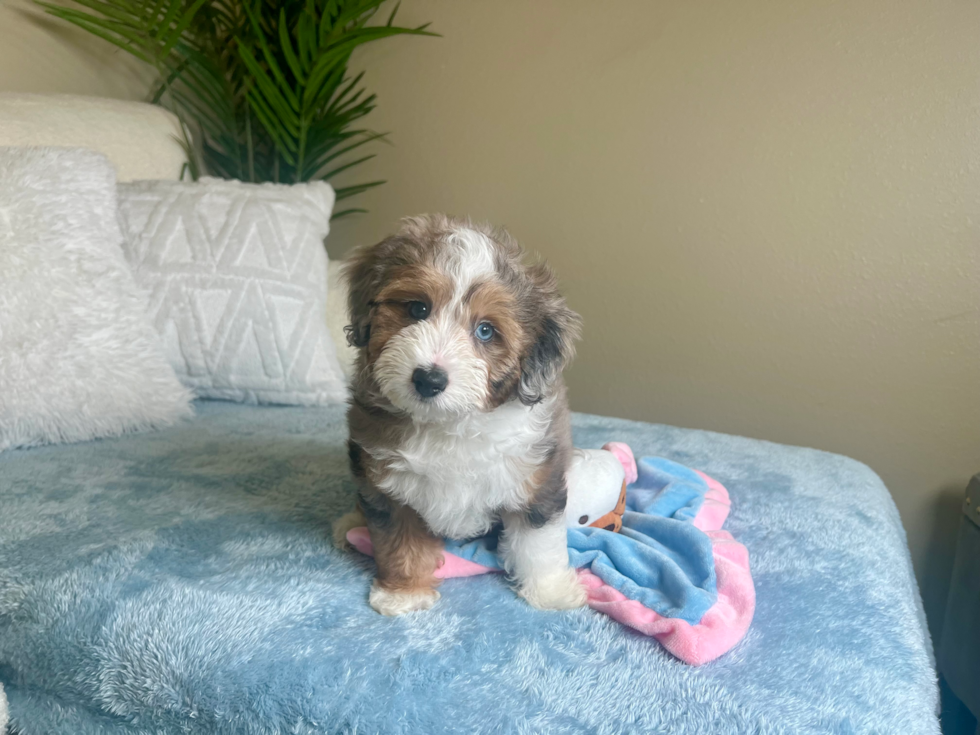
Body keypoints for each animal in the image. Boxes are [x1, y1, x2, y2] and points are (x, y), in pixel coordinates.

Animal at [334, 216, 584, 620]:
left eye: (486, 331)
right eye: (417, 309)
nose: (428, 379)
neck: (450, 422)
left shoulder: (536, 474)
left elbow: (538, 539)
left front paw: (551, 591)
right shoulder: (389, 487)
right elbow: (399, 540)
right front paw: (404, 593)